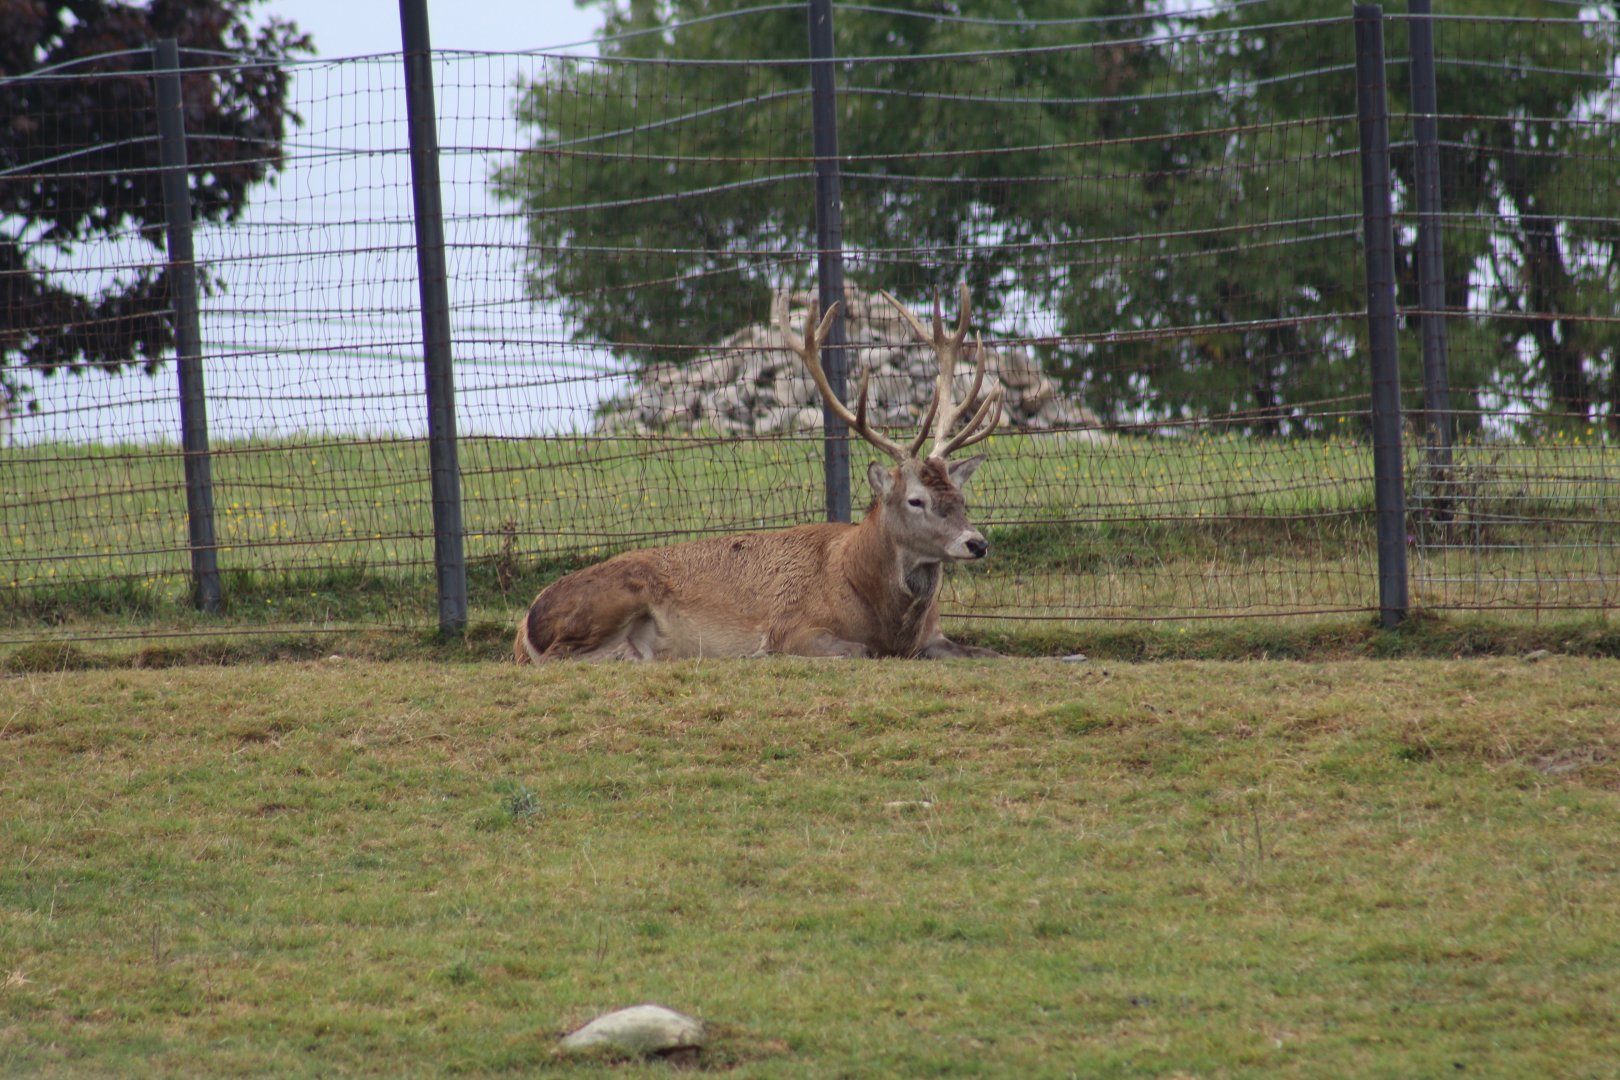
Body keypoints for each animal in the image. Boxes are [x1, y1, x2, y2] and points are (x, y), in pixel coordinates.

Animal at [514, 283, 1005, 662]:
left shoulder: (933, 636)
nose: (977, 543)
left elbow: (991, 654)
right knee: (562, 655)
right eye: (916, 500)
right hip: (614, 595)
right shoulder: (794, 626)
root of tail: (524, 624)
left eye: (961, 499)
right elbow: (860, 650)